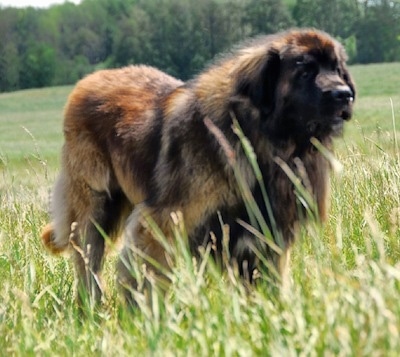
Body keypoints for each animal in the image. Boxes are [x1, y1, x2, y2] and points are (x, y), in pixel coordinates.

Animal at [39, 29, 354, 304]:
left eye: (337, 70)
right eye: (305, 72)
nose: (344, 94)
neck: (259, 138)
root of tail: (88, 80)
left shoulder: (267, 228)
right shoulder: (163, 219)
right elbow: (148, 278)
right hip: (94, 207)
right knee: (87, 261)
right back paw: (92, 307)